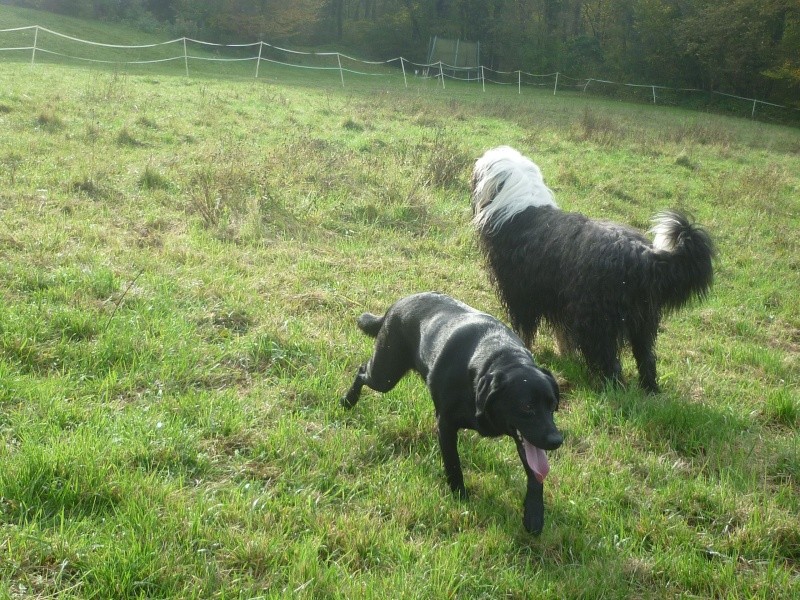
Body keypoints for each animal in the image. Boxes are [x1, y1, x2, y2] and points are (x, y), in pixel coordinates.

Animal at [472, 146, 716, 394]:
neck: (521, 210)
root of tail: (645, 255)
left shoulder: (521, 295)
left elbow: (524, 330)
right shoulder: (558, 299)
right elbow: (562, 334)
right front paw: (565, 356)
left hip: (597, 322)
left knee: (610, 363)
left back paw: (610, 388)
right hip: (642, 323)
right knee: (647, 359)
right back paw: (650, 391)